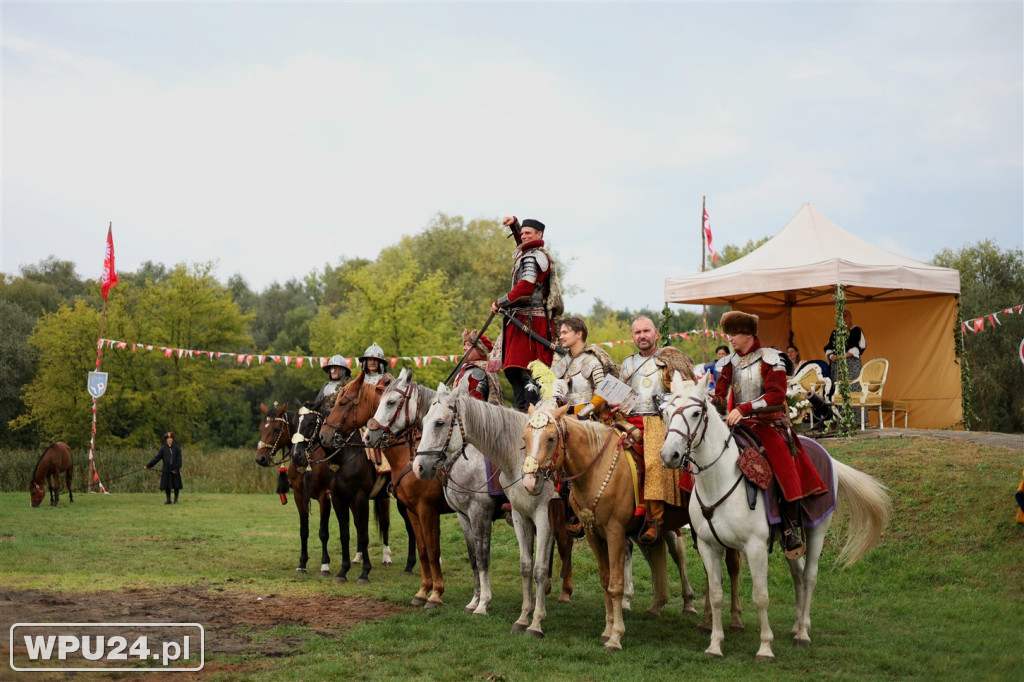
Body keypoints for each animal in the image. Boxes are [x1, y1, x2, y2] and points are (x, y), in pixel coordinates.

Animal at [319, 372, 448, 606]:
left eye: (342, 403)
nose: (324, 436)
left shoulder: (361, 498)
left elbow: (363, 535)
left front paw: (364, 574)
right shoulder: (340, 499)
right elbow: (345, 534)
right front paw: (342, 572)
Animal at [368, 368, 507, 614]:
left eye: (391, 402)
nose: (368, 435)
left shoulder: (443, 511)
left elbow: (440, 551)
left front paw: (437, 595)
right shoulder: (416, 511)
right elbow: (426, 549)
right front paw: (423, 592)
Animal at [415, 382, 577, 638]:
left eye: (439, 423)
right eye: (423, 421)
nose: (419, 467)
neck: (519, 457)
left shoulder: (493, 514)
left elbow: (497, 561)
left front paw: (487, 606)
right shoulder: (477, 517)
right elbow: (494, 561)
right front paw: (480, 604)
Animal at [524, 401, 741, 651]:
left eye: (551, 438)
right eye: (524, 438)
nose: (529, 482)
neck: (597, 467)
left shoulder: (615, 533)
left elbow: (616, 584)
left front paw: (616, 636)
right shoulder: (593, 534)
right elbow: (605, 582)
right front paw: (607, 629)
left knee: (728, 568)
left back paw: (729, 620)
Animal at [663, 372, 888, 659]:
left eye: (694, 413)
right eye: (667, 412)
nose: (669, 455)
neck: (719, 480)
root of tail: (825, 453)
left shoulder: (756, 546)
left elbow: (761, 596)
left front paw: (765, 647)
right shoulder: (708, 545)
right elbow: (715, 595)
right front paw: (715, 644)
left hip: (817, 528)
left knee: (810, 576)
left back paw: (803, 633)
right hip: (786, 537)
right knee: (798, 574)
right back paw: (797, 626)